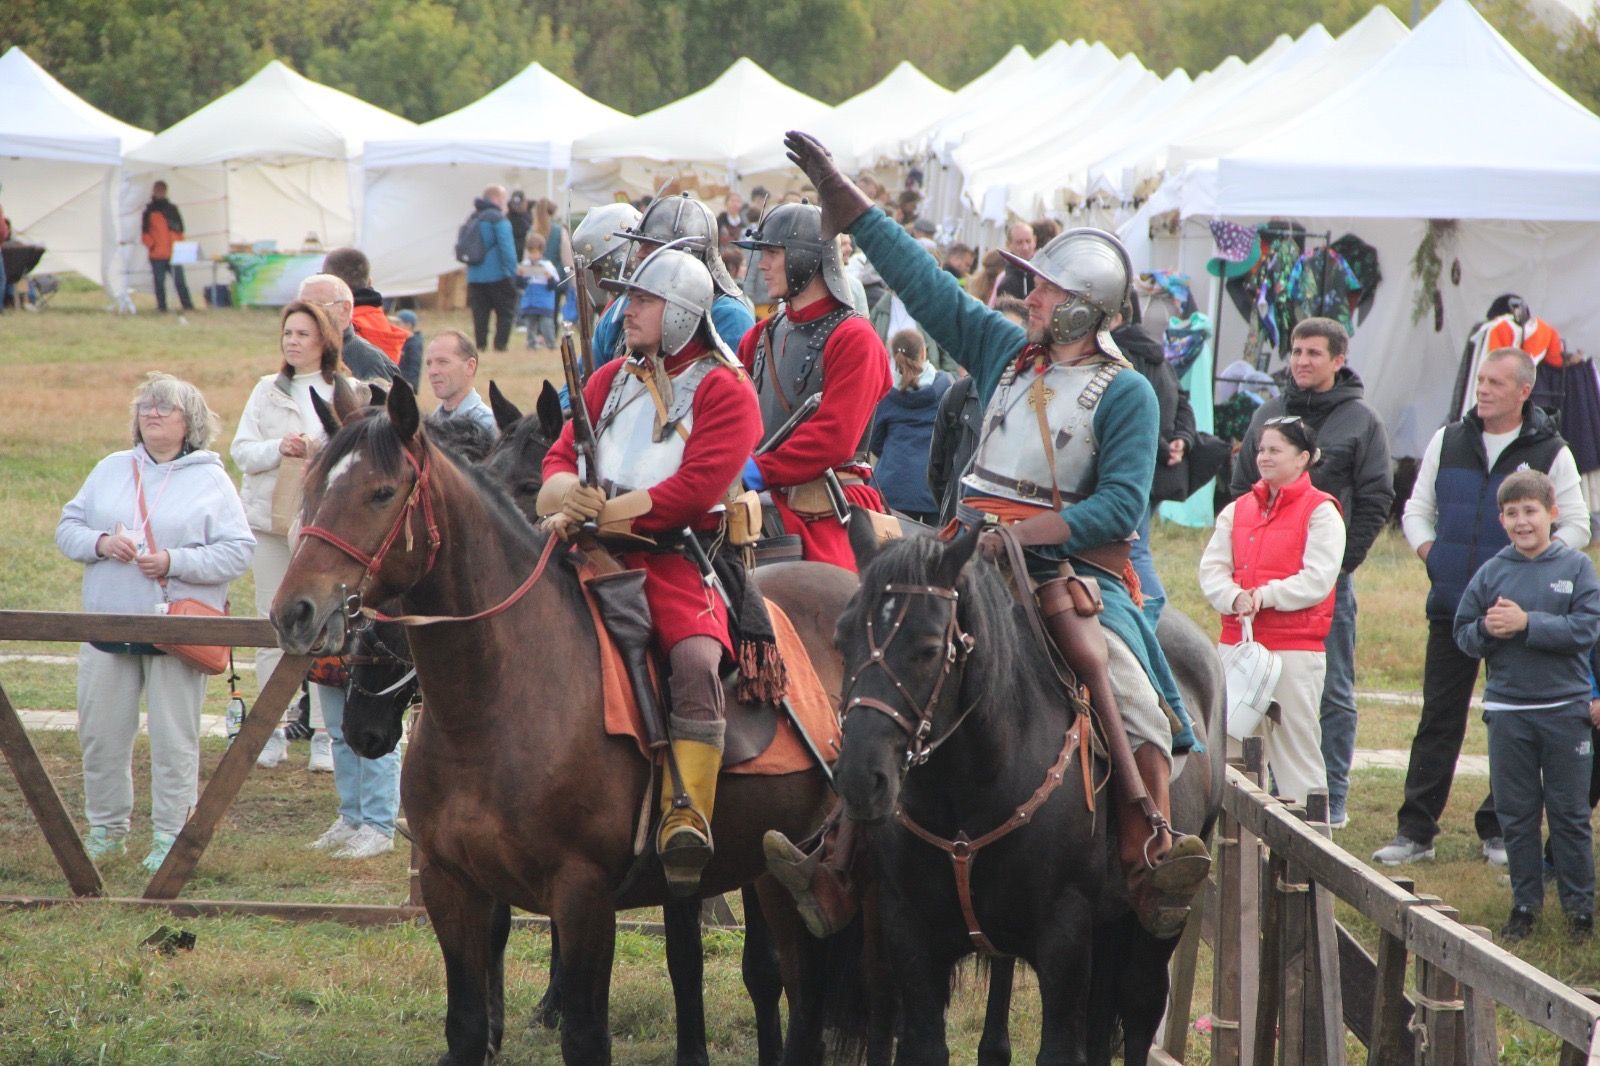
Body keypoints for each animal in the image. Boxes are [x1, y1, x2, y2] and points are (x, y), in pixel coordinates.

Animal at [272, 382, 864, 1062]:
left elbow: (588, 1033)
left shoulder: (584, 895)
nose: (294, 612)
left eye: (381, 492)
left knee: (797, 983)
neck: (494, 705)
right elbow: (467, 1021)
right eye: (315, 486)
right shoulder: (455, 886)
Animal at [832, 524, 1216, 1062]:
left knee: (1140, 1003)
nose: (860, 779)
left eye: (927, 648)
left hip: (1158, 917)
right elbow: (925, 1042)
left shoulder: (1064, 937)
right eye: (841, 639)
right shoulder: (910, 931)